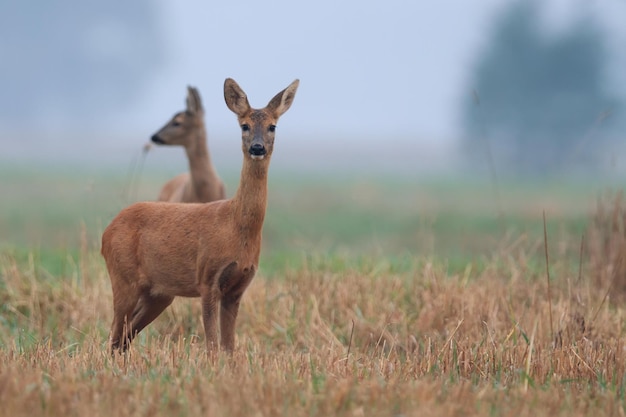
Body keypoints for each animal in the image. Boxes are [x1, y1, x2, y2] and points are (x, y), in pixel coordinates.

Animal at [99, 77, 298, 352]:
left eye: (272, 126)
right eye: (244, 125)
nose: (257, 148)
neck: (235, 226)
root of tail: (106, 232)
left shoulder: (237, 288)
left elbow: (229, 347)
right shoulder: (207, 278)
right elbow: (212, 346)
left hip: (158, 293)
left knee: (124, 337)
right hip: (123, 277)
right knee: (113, 335)